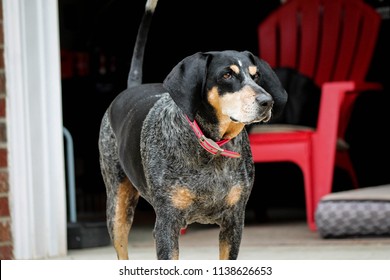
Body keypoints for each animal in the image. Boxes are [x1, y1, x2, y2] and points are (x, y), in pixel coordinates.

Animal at [97, 0, 286, 260]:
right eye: (227, 75)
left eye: (256, 76)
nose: (267, 101)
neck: (212, 147)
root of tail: (130, 89)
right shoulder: (167, 225)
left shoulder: (234, 223)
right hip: (117, 207)